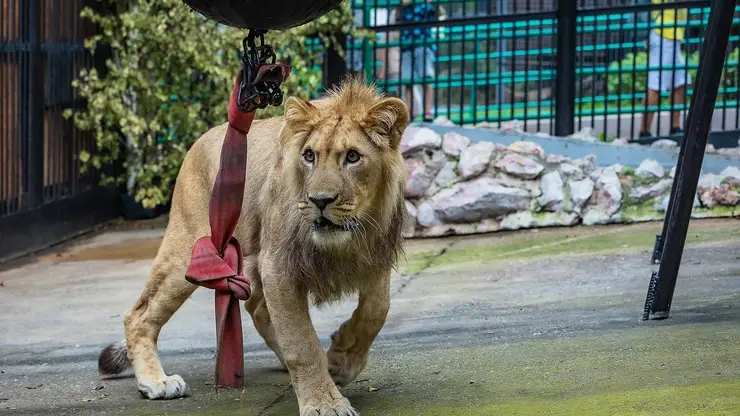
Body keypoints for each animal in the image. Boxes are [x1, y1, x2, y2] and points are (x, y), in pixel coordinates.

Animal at [97, 79, 410, 416]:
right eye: (309, 156)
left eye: (353, 157)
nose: (319, 201)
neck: (350, 238)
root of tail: (201, 140)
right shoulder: (279, 264)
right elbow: (301, 341)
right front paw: (324, 402)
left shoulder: (375, 256)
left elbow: (376, 310)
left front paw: (340, 361)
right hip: (188, 253)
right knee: (139, 315)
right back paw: (156, 381)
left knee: (257, 308)